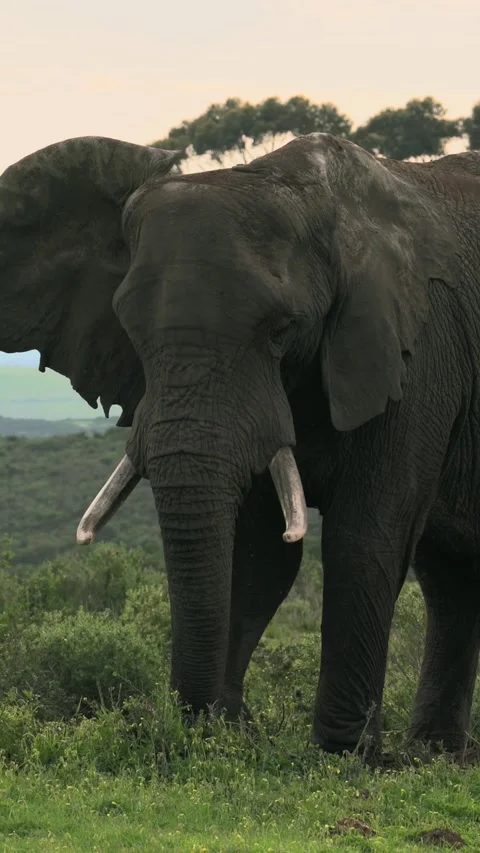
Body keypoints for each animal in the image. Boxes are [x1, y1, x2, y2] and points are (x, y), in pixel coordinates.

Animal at [1, 132, 480, 757]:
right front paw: (224, 739)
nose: (185, 722)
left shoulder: (415, 352)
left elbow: (365, 537)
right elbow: (256, 551)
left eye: (281, 330)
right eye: (129, 330)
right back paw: (436, 752)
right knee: (451, 575)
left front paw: (344, 758)